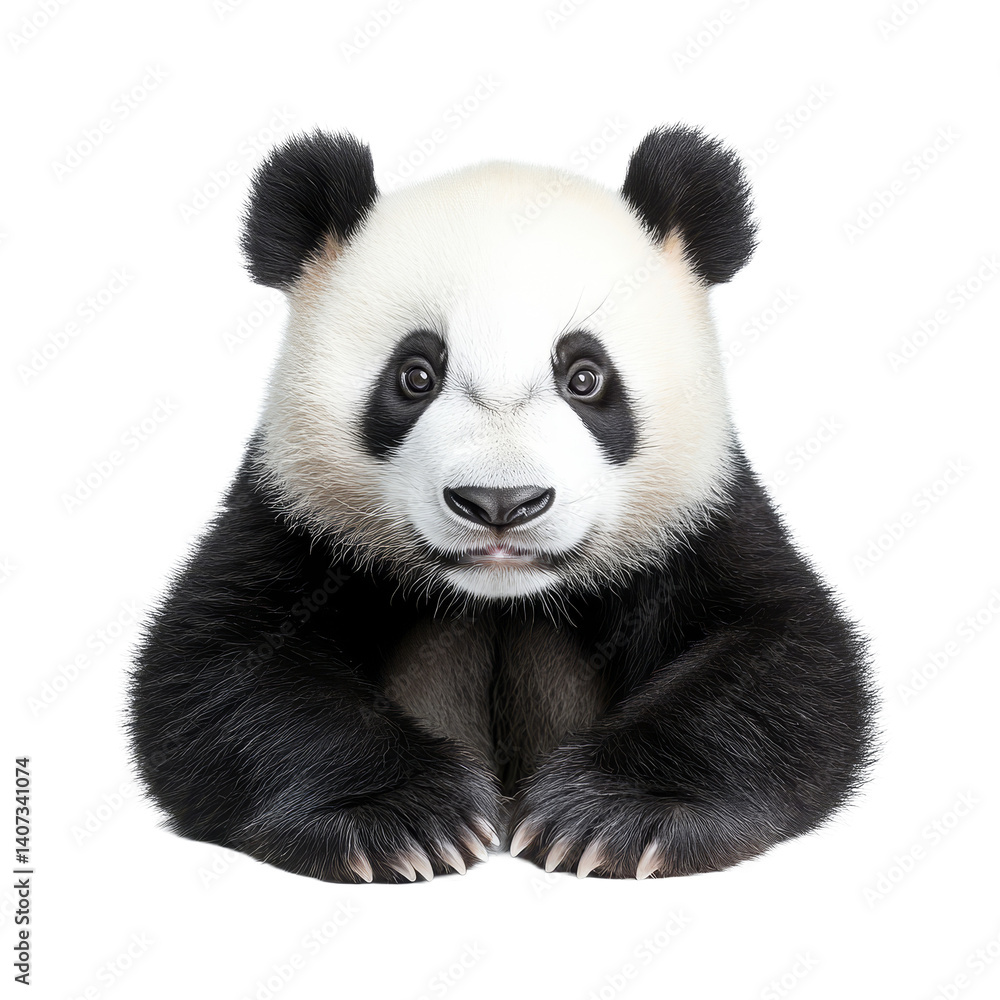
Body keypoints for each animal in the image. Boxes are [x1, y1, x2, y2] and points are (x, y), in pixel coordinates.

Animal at [129, 126, 874, 883]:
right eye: (416, 375)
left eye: (585, 377)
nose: (499, 502)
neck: (502, 594)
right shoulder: (295, 517)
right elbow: (218, 667)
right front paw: (402, 819)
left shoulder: (698, 517)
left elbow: (786, 665)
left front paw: (614, 817)